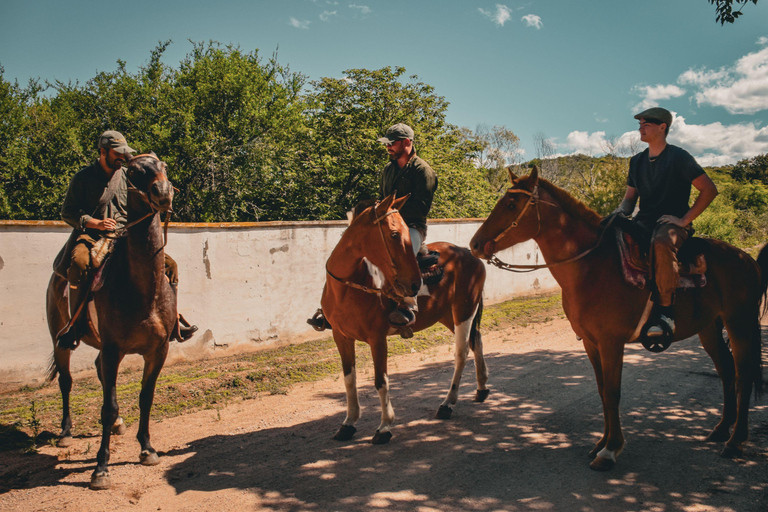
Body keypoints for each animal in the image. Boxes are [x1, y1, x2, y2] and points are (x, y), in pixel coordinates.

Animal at [46, 154, 177, 490]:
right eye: (135, 171)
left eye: (163, 166)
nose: (163, 193)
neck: (143, 288)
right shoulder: (113, 350)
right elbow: (108, 406)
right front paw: (101, 469)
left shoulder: (157, 351)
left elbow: (146, 397)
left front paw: (147, 449)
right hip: (61, 339)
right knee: (66, 380)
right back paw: (65, 433)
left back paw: (118, 426)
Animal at [320, 195, 488, 444]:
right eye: (393, 234)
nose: (415, 284)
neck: (347, 286)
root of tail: (468, 254)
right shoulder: (341, 337)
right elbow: (349, 380)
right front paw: (348, 423)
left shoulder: (377, 339)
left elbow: (381, 381)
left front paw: (384, 427)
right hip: (448, 315)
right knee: (476, 342)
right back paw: (482, 388)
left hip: (464, 311)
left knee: (462, 352)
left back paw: (448, 403)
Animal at [464, 166, 764, 470]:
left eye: (511, 205)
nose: (475, 244)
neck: (591, 266)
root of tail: (746, 259)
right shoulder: (591, 342)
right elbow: (601, 391)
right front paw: (601, 443)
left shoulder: (611, 342)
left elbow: (612, 392)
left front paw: (610, 450)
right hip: (710, 327)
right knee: (726, 370)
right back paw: (721, 430)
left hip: (739, 322)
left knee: (744, 374)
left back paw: (735, 441)